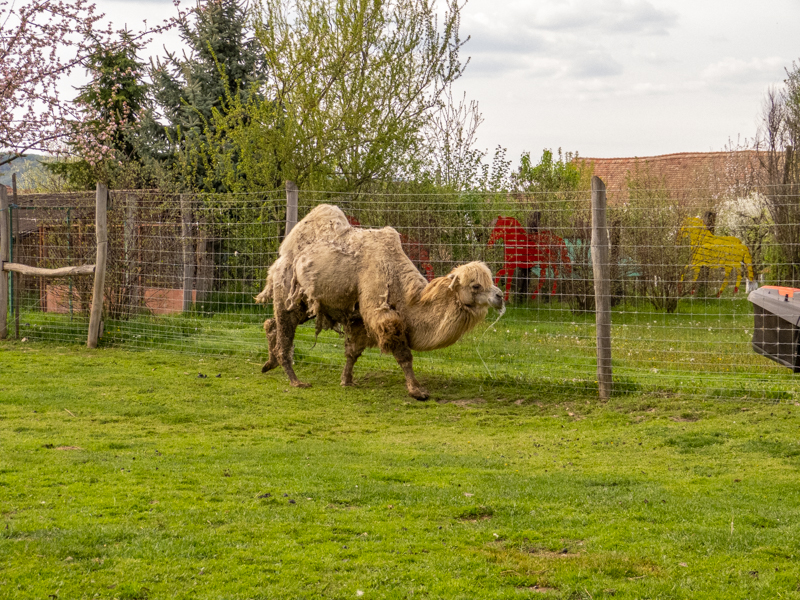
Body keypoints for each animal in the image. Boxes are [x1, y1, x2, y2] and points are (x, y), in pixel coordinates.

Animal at [255, 204, 504, 399]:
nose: (500, 296)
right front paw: (417, 391)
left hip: (304, 303)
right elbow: (402, 352)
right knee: (285, 332)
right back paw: (295, 380)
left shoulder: (358, 317)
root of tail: (278, 261)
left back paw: (269, 364)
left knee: (272, 323)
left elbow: (353, 351)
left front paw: (347, 381)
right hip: (286, 288)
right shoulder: (379, 309)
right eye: (475, 285)